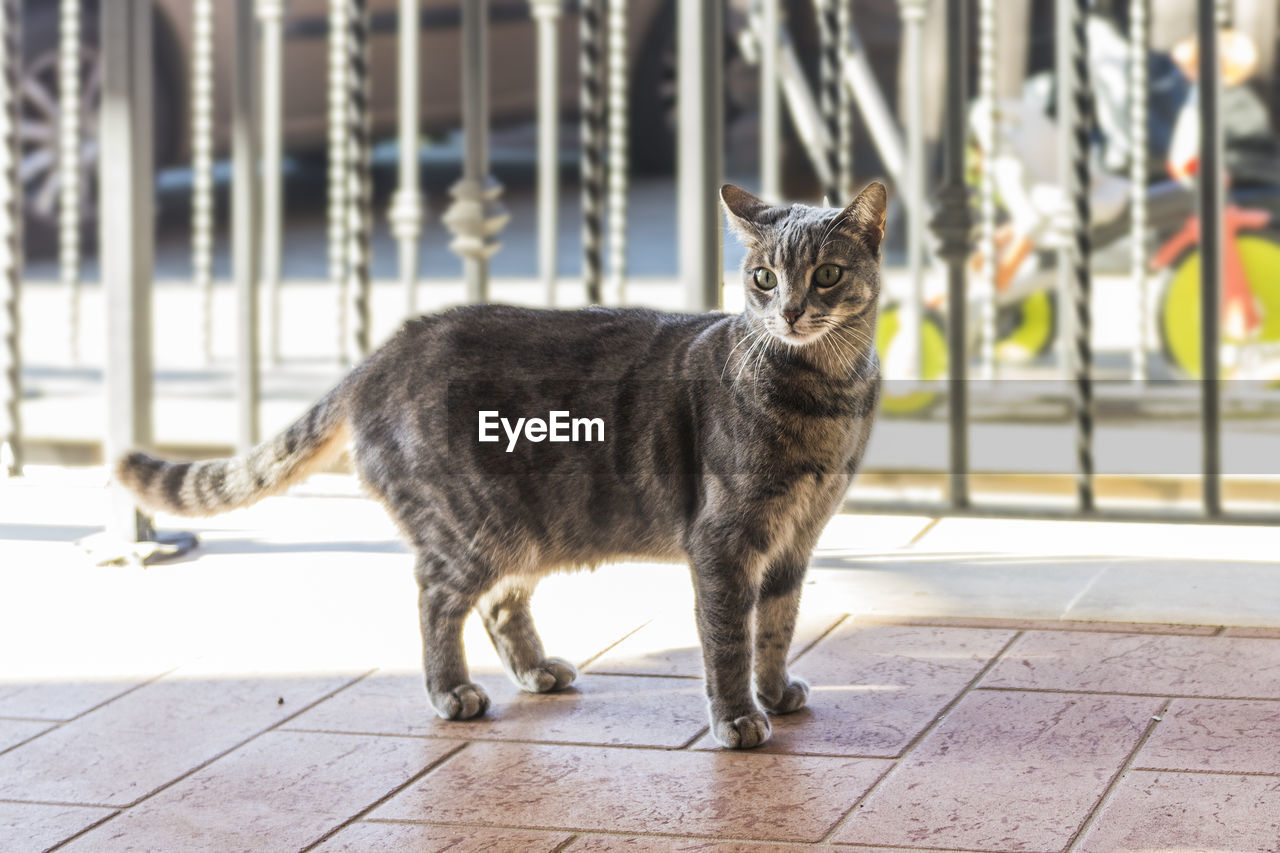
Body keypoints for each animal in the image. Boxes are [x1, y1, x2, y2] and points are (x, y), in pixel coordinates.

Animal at [115, 179, 885, 742]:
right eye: (763, 277)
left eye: (827, 274)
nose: (788, 312)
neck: (827, 397)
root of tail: (383, 352)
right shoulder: (724, 543)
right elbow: (728, 639)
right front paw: (738, 718)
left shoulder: (795, 543)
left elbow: (776, 628)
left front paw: (775, 692)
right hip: (471, 529)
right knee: (436, 598)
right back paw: (452, 689)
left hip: (527, 529)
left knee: (498, 604)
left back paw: (538, 670)